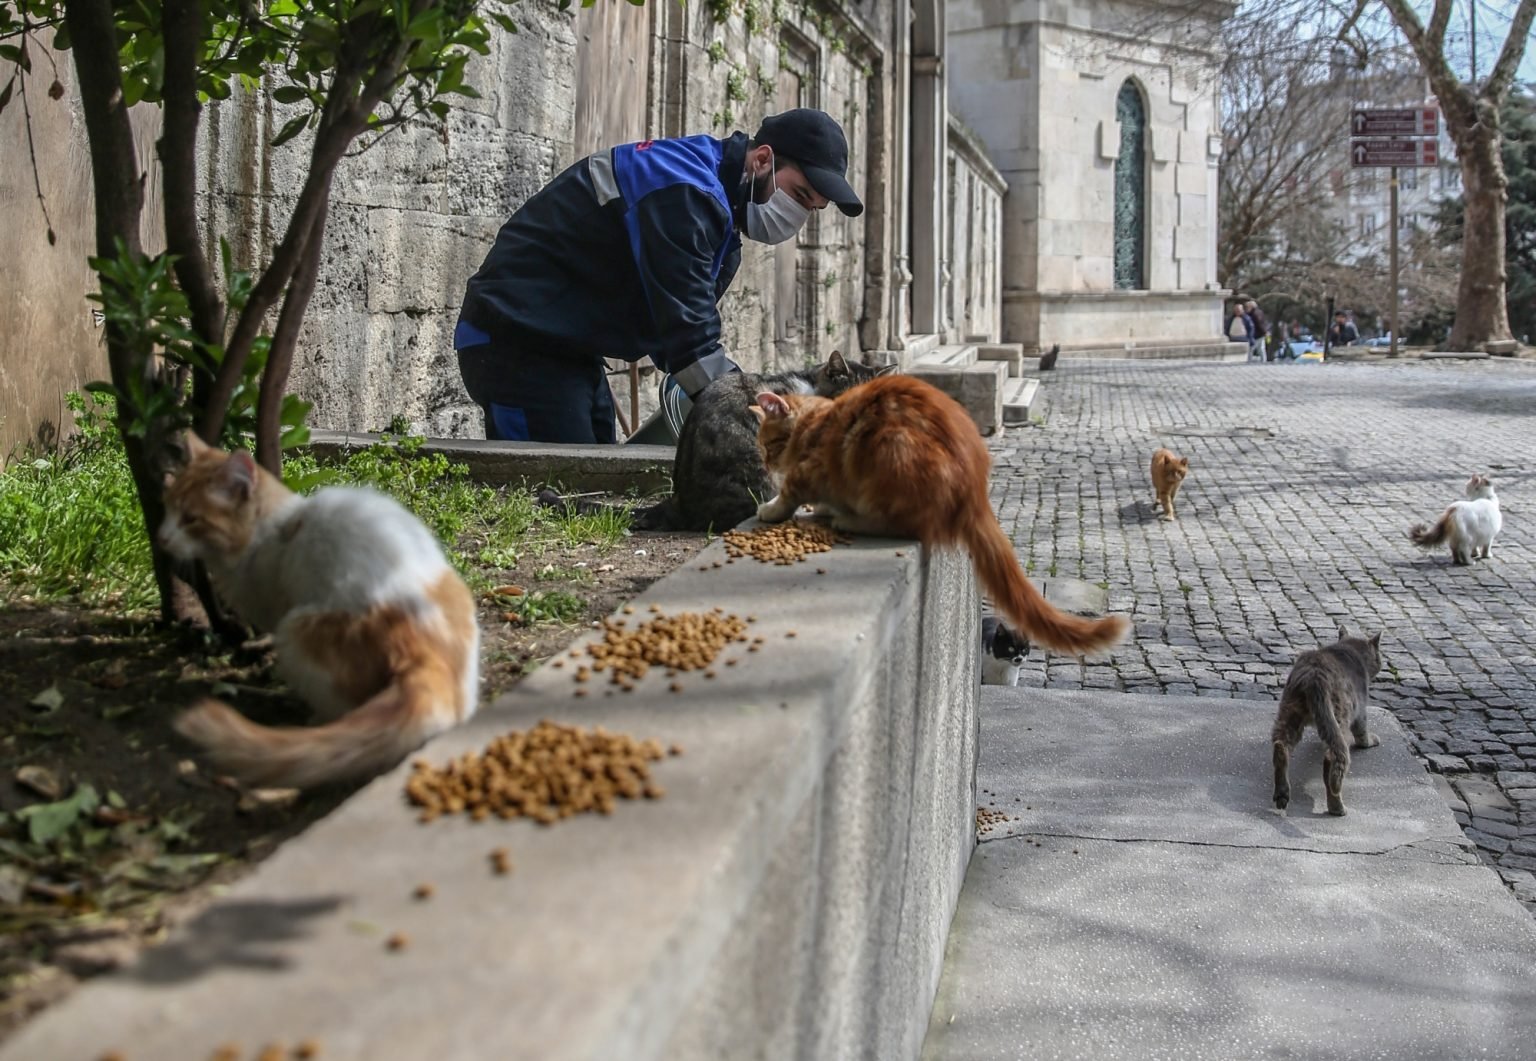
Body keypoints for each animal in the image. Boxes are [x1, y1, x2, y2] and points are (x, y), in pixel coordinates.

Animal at [158, 432, 476, 786]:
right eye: (166, 506)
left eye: (191, 519)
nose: (161, 538)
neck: (265, 532)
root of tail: (425, 650)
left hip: (296, 631)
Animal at [752, 373, 1130, 657]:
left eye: (769, 445)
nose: (767, 465)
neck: (813, 423)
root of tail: (975, 493)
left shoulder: (811, 470)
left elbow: (791, 492)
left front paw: (772, 508)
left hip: (890, 446)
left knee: (905, 525)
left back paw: (851, 518)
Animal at [1265, 626, 1388, 816]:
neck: (1349, 650)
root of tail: (1315, 676)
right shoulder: (1360, 710)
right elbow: (1362, 733)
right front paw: (1371, 740)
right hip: (1340, 717)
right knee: (1332, 759)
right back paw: (1336, 807)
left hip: (1290, 711)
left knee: (1281, 745)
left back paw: (1282, 793)